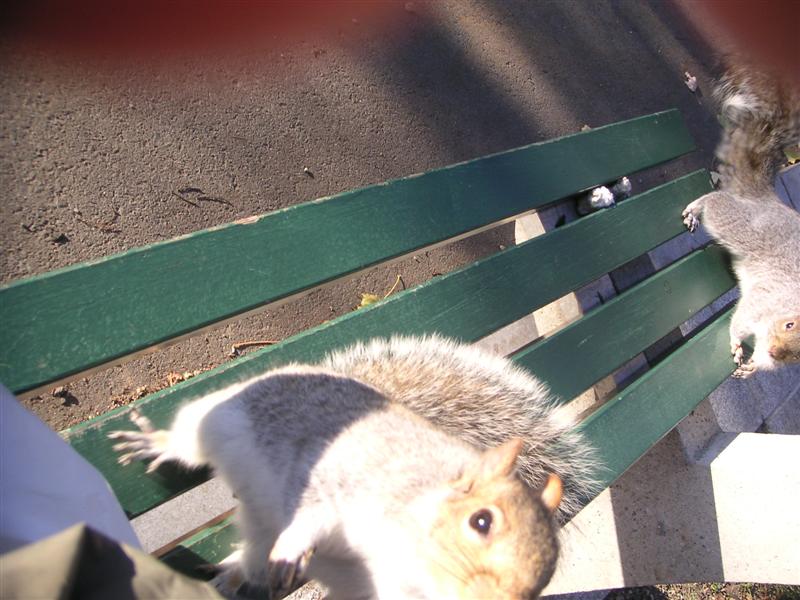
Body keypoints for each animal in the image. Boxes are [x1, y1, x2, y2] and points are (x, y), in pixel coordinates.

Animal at [112, 338, 600, 600]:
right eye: (481, 521)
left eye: (549, 569)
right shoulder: (338, 481)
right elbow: (310, 511)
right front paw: (297, 547)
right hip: (219, 418)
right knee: (190, 440)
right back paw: (155, 443)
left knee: (249, 557)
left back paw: (229, 577)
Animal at [680, 64, 800, 376]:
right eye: (789, 324)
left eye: (797, 355)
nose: (774, 350)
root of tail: (768, 200)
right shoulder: (763, 299)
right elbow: (742, 318)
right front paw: (736, 344)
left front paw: (753, 366)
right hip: (741, 226)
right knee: (716, 202)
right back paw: (696, 209)